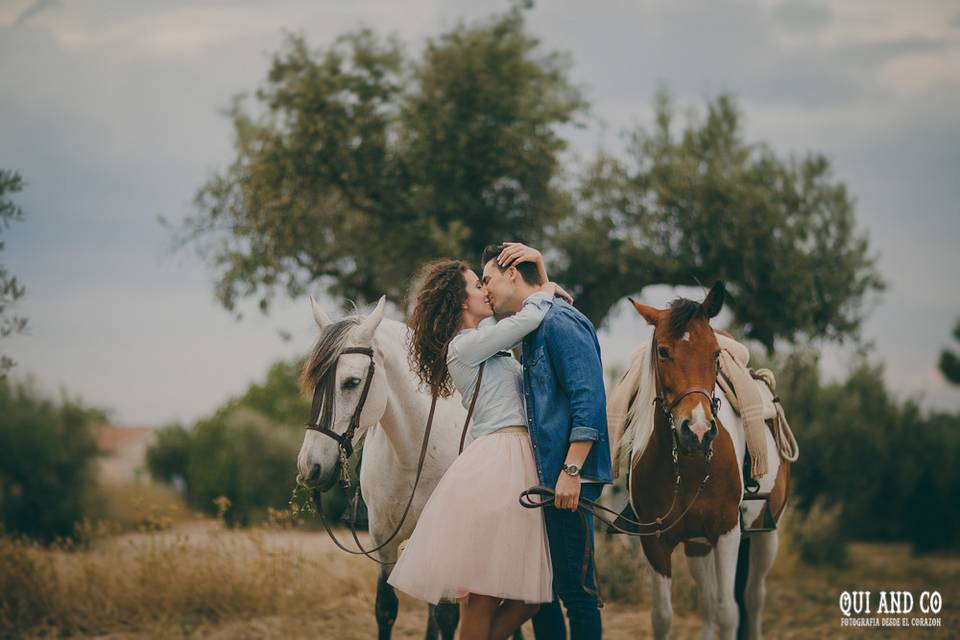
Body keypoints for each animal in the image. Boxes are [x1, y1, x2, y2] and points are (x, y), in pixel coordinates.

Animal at [296, 298, 468, 640]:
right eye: (315, 383)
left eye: (351, 382)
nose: (310, 467)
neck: (414, 452)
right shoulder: (383, 541)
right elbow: (386, 608)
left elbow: (447, 615)